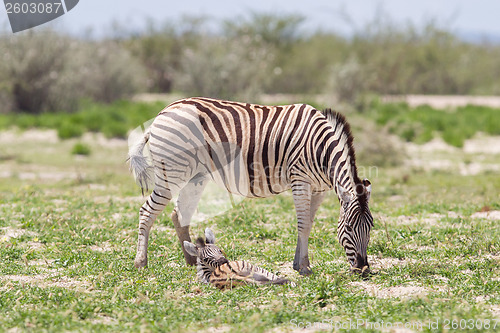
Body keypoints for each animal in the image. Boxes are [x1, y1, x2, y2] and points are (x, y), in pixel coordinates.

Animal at [129, 96, 376, 274]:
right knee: (147, 211)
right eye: (349, 227)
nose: (363, 269)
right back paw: (141, 263)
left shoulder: (319, 189)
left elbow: (308, 223)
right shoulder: (300, 180)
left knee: (178, 214)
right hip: (172, 172)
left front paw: (298, 264)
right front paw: (305, 267)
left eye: (371, 227)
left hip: (195, 176)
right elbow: (303, 224)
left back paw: (191, 260)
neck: (321, 150)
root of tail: (161, 114)